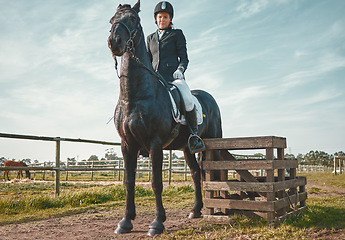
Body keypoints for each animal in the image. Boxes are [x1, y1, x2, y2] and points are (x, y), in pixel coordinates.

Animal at [107, 0, 220, 236]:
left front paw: (157, 222)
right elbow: (129, 181)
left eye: (133, 19)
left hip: (213, 142)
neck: (134, 95)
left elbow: (156, 183)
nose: (115, 42)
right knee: (196, 173)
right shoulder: (127, 144)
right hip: (187, 148)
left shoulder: (155, 144)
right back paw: (196, 210)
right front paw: (126, 221)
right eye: (112, 20)